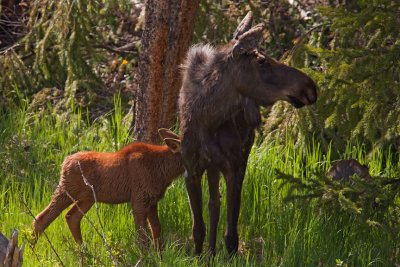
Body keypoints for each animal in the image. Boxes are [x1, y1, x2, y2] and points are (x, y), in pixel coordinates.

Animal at [32, 129, 183, 248]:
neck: (165, 171)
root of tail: (64, 162)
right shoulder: (139, 199)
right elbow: (142, 236)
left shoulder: (152, 201)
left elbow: (156, 229)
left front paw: (159, 256)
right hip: (67, 190)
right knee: (41, 218)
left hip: (87, 198)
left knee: (71, 217)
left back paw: (84, 252)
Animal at [180, 12, 318, 255]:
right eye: (262, 61)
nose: (310, 87)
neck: (208, 120)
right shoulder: (191, 169)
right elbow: (197, 228)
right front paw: (198, 256)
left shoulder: (234, 167)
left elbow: (231, 234)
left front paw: (226, 255)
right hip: (212, 165)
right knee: (213, 203)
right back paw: (210, 253)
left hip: (239, 154)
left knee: (215, 203)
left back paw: (213, 253)